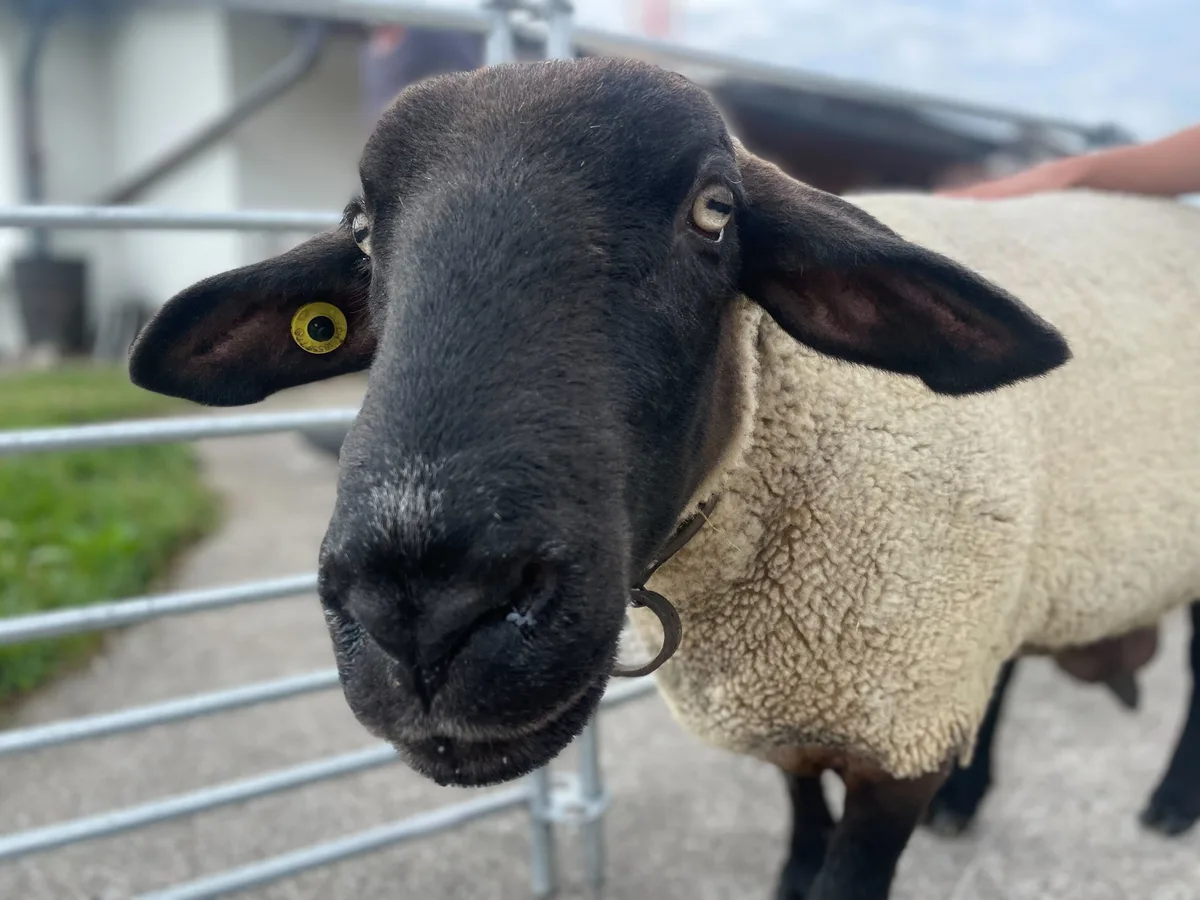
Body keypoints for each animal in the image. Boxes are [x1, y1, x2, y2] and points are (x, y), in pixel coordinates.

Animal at [125, 57, 1200, 900]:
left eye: (715, 211)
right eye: (358, 234)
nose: (424, 606)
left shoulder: (897, 725)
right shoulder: (800, 705)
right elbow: (800, 817)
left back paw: (1166, 805)